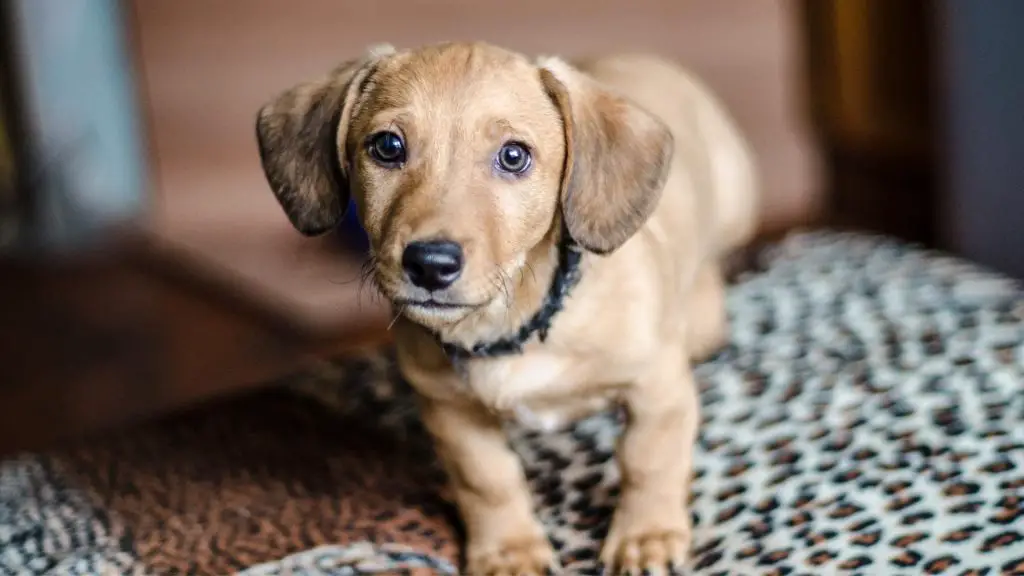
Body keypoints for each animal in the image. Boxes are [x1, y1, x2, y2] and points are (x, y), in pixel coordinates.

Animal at [253, 42, 761, 569]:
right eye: (387, 147)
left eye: (513, 156)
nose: (430, 264)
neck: (511, 325)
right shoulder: (451, 412)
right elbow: (487, 481)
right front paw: (509, 551)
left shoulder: (657, 390)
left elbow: (649, 462)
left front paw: (647, 537)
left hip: (736, 208)